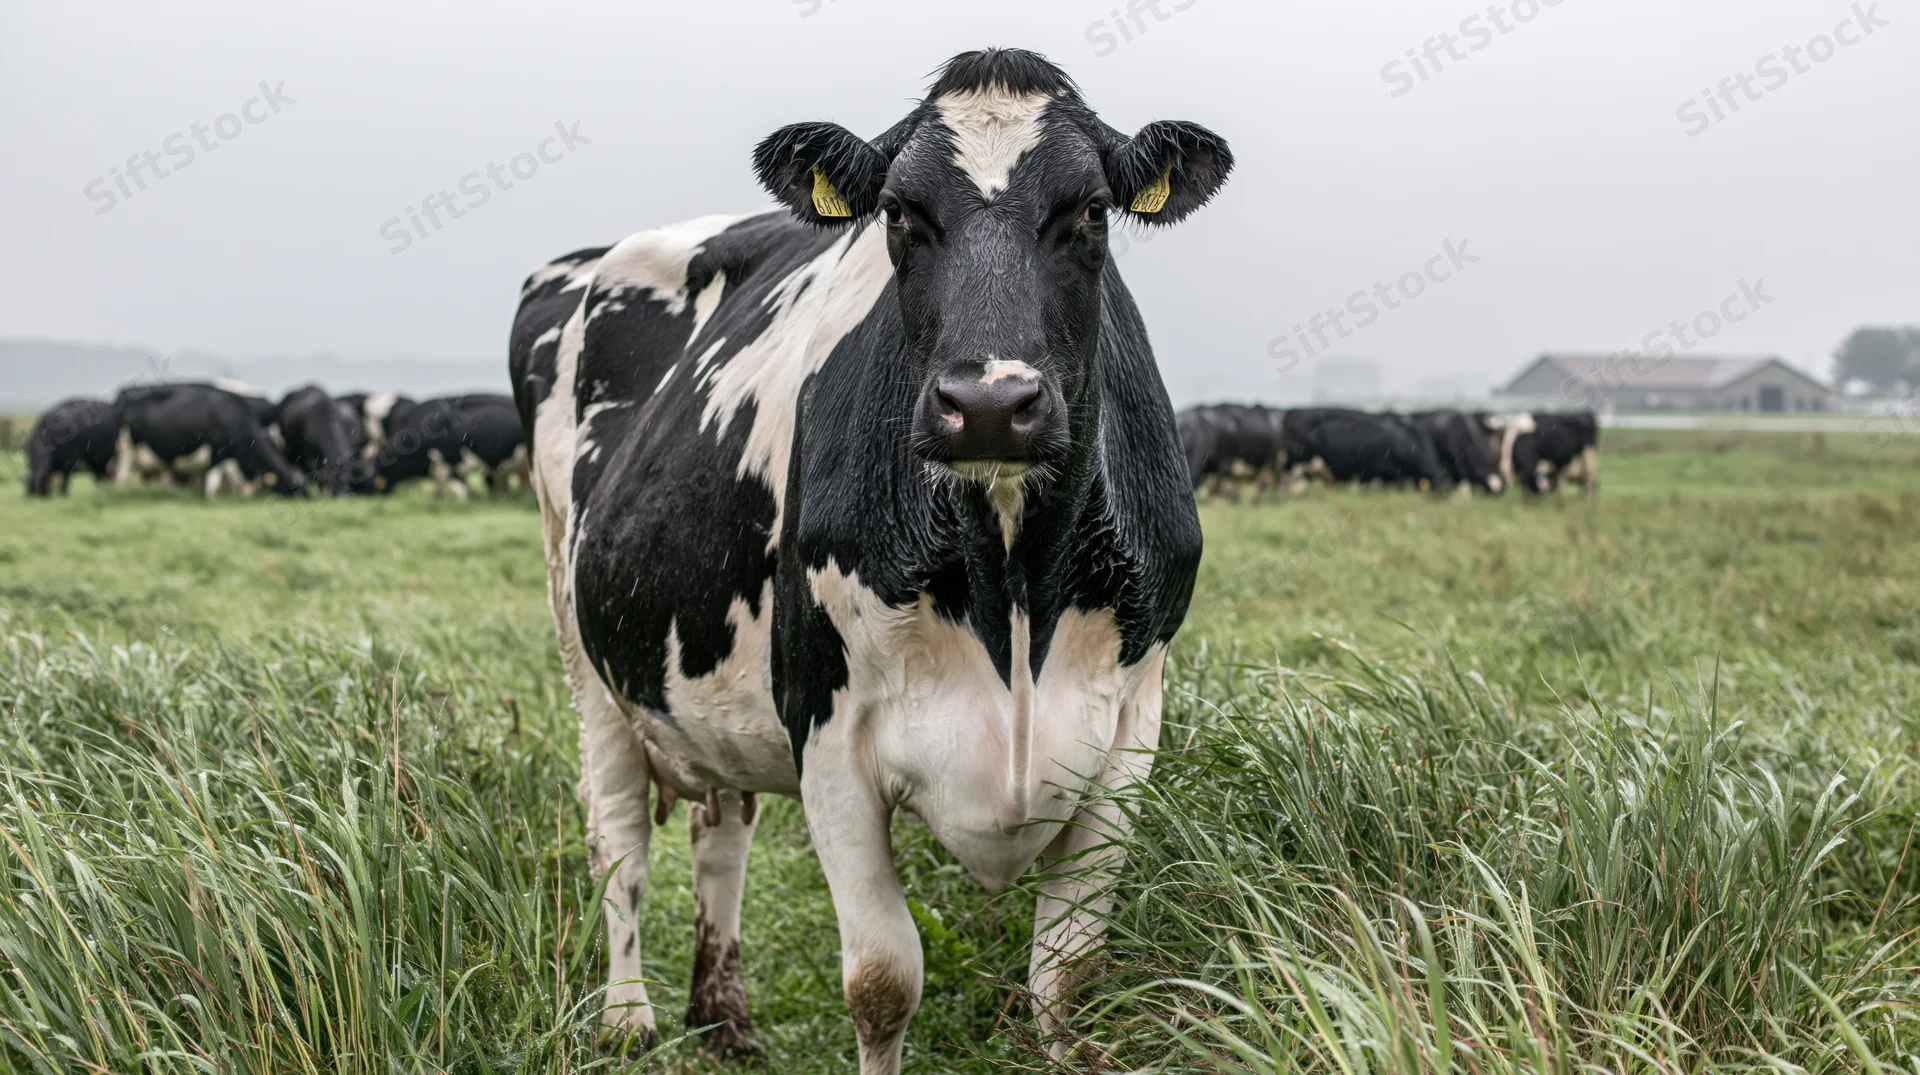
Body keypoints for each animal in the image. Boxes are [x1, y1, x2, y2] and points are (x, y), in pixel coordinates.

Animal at [113, 383, 307, 497]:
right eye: (296, 488)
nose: (309, 498)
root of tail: (125, 391)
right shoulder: (217, 454)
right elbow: (213, 485)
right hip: (126, 448)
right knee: (121, 478)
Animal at [509, 49, 1228, 1072]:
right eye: (897, 213)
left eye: (1091, 210)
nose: (991, 403)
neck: (1010, 580)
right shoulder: (826, 730)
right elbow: (883, 981)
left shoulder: (1130, 733)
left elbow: (1068, 985)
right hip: (585, 649)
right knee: (616, 834)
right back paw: (628, 1020)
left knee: (719, 826)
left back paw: (723, 1020)